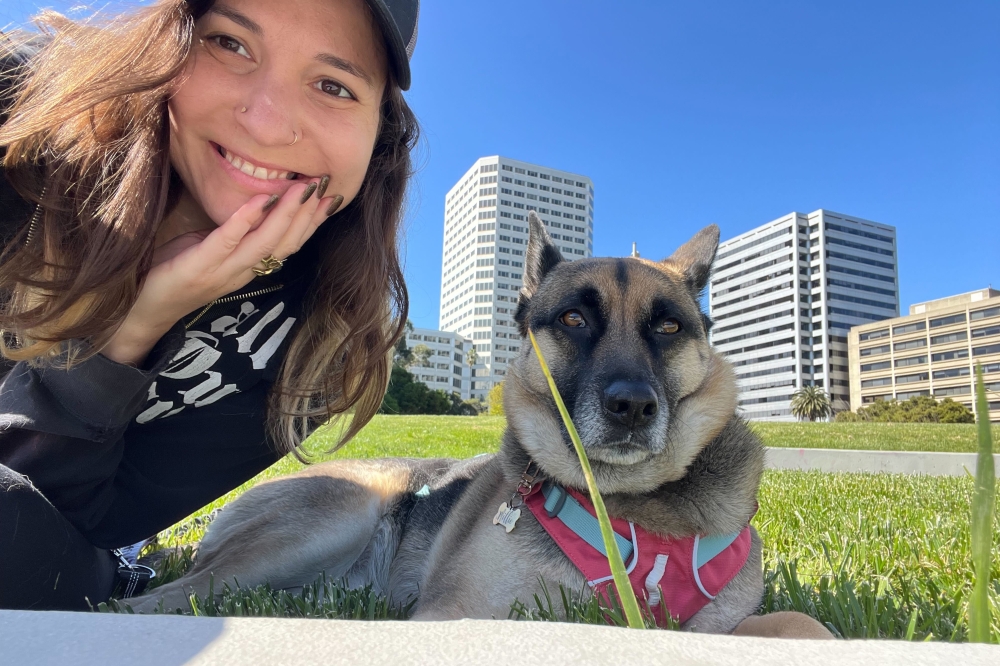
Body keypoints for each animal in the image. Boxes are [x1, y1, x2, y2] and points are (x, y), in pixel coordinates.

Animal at [135, 214, 836, 640]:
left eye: (668, 326)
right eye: (575, 319)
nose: (634, 406)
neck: (633, 513)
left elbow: (805, 623)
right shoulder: (457, 616)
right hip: (328, 519)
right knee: (156, 601)